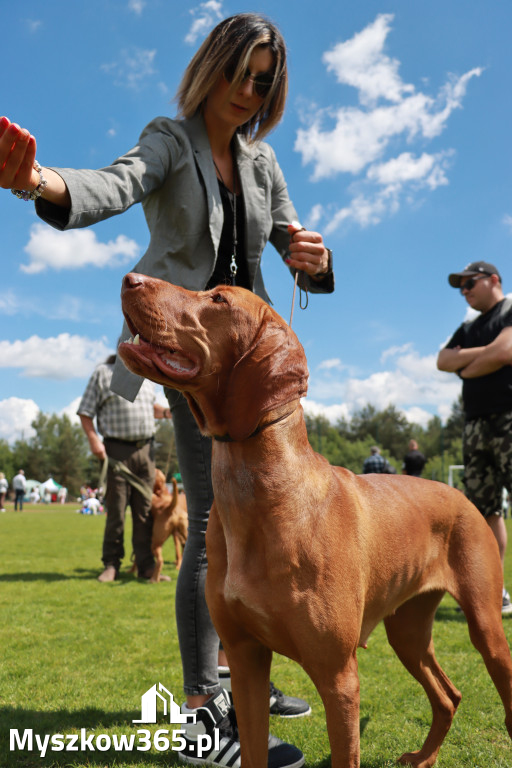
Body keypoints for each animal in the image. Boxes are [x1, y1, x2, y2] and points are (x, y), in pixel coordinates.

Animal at [119, 274, 512, 768]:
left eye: (218, 298)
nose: (129, 278)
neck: (259, 499)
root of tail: (459, 494)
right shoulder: (244, 663)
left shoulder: (338, 676)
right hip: (406, 630)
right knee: (448, 695)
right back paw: (423, 757)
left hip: (485, 625)